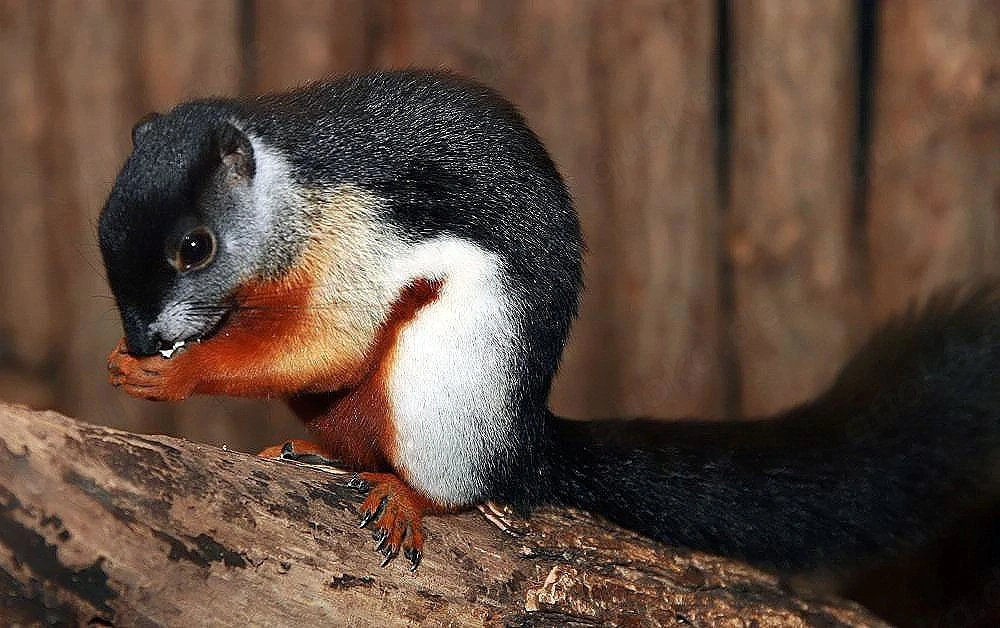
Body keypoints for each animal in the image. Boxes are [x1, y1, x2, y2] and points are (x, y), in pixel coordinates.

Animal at [100, 69, 1000, 574]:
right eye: (102, 229)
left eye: (195, 247)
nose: (144, 336)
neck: (284, 195)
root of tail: (527, 446)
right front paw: (132, 361)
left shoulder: (354, 237)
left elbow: (334, 341)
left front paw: (174, 373)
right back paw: (320, 454)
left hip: (448, 380)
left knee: (452, 478)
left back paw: (407, 495)